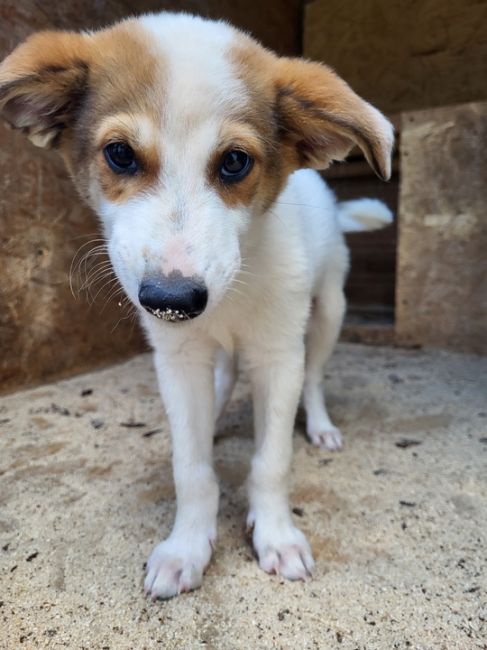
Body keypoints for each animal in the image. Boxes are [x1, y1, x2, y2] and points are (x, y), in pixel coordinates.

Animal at [0, 11, 394, 596]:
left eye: (234, 162)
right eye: (120, 154)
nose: (172, 300)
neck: (235, 287)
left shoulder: (278, 357)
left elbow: (272, 459)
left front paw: (276, 535)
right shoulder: (179, 357)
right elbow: (191, 467)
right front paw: (187, 544)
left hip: (329, 311)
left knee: (316, 375)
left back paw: (321, 424)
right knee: (226, 375)